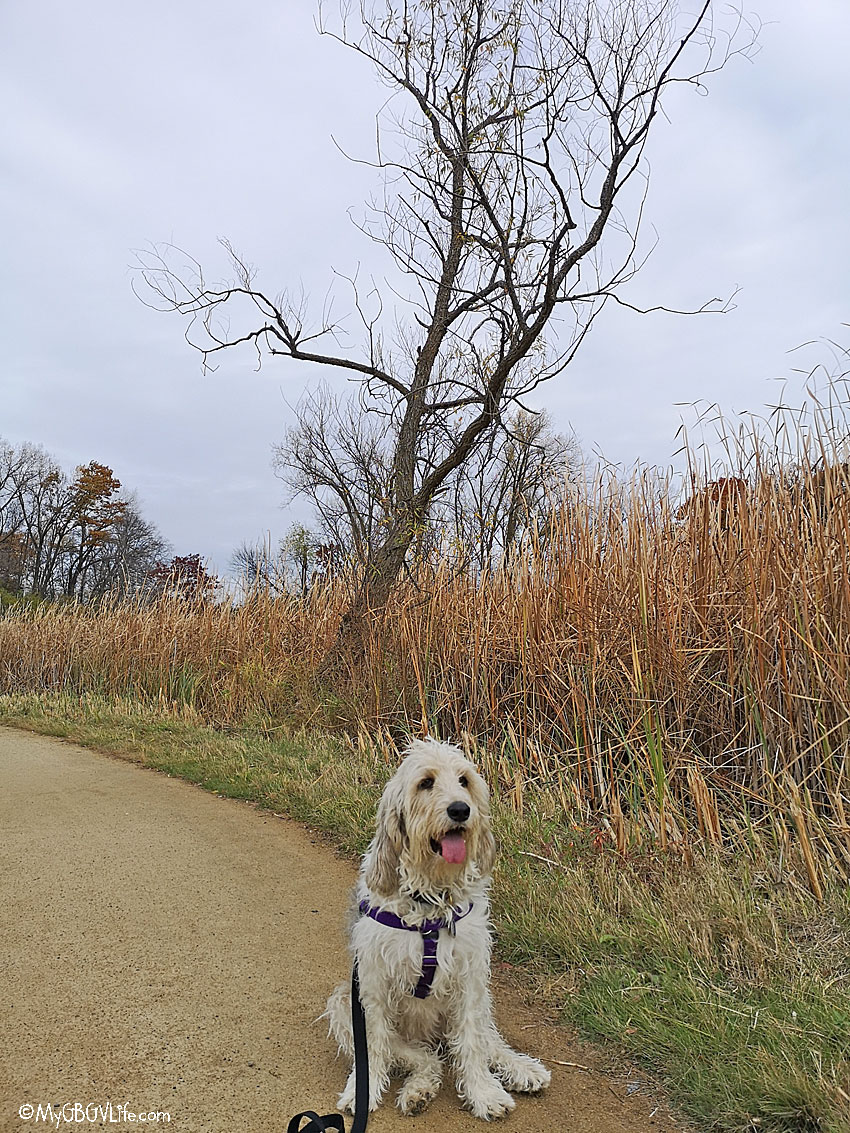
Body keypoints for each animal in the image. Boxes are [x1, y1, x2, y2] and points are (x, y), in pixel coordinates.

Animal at [323, 737, 551, 1119]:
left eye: (464, 781)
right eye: (426, 782)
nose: (460, 810)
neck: (429, 902)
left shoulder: (469, 977)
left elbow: (473, 1043)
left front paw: (483, 1093)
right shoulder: (372, 984)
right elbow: (373, 1045)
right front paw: (363, 1091)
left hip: (477, 1002)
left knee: (486, 1042)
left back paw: (520, 1068)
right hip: (343, 1002)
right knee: (424, 1058)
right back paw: (420, 1090)